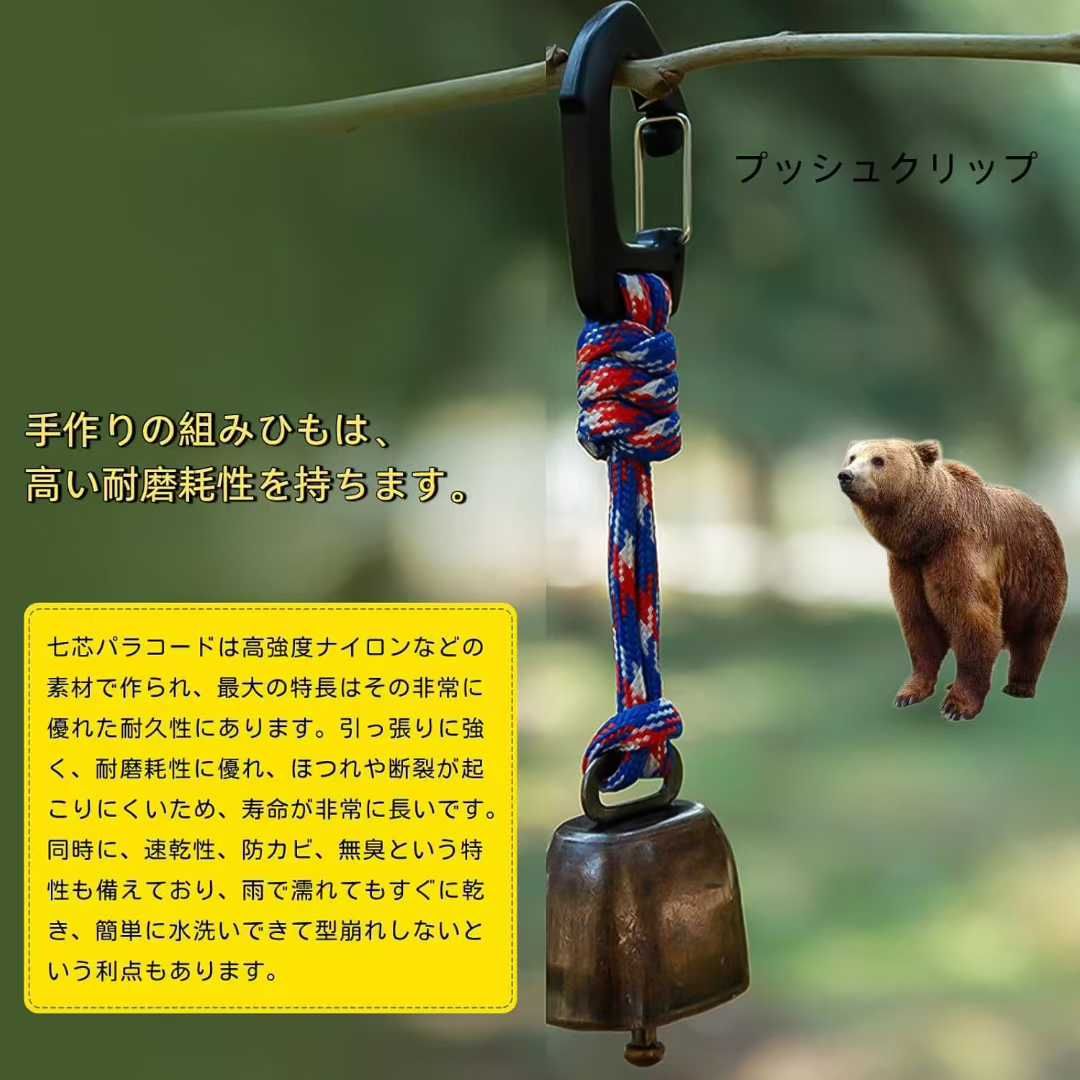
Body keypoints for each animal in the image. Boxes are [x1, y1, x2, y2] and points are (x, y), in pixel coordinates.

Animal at [838, 438, 1067, 721]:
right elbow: (919, 624)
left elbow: (973, 619)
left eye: (878, 460)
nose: (846, 475)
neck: (929, 532)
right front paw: (909, 693)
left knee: (1034, 632)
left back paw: (1019, 686)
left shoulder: (959, 552)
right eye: (852, 457)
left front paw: (956, 706)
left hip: (1037, 571)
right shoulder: (908, 566)